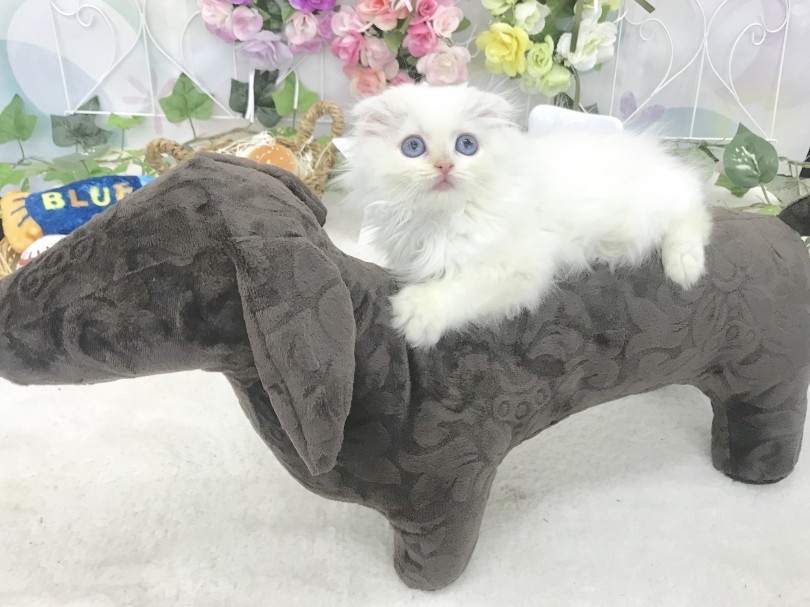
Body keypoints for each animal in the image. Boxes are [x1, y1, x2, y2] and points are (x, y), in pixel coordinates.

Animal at [335, 83, 711, 348]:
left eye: (466, 145)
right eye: (413, 147)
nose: (444, 166)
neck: (442, 219)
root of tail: (659, 155)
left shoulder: (518, 267)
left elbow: (462, 287)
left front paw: (417, 313)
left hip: (649, 210)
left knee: (696, 210)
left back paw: (684, 266)